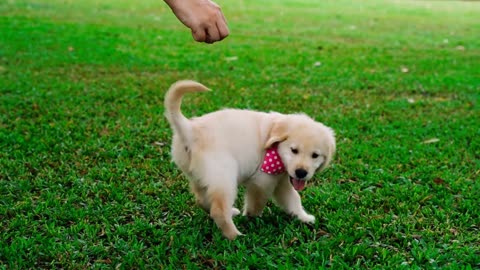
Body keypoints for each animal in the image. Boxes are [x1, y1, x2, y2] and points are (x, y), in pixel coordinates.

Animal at [163, 80, 336, 240]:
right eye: (294, 150)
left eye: (315, 155)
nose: (301, 173)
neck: (273, 140)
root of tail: (190, 129)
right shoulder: (262, 180)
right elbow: (257, 201)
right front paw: (252, 216)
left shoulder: (281, 181)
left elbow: (293, 199)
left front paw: (303, 217)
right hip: (224, 177)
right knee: (218, 210)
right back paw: (236, 236)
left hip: (199, 177)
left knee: (202, 201)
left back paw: (231, 213)